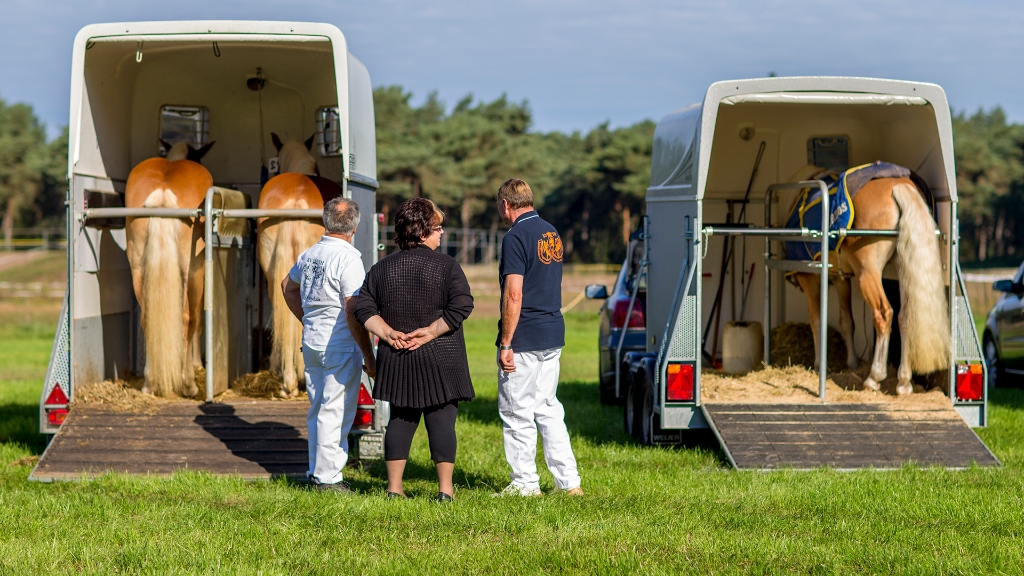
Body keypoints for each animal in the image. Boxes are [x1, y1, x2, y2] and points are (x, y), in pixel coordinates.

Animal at [128, 141, 216, 397]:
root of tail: (163, 191)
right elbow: (197, 320)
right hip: (191, 270)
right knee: (188, 318)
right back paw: (188, 383)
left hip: (137, 268)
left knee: (147, 317)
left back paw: (150, 382)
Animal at [790, 163, 950, 391]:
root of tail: (899, 184)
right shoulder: (841, 278)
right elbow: (846, 321)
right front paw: (851, 363)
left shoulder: (808, 277)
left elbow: (816, 320)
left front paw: (819, 365)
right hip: (903, 267)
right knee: (904, 317)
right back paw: (903, 382)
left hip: (867, 274)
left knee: (884, 314)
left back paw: (874, 377)